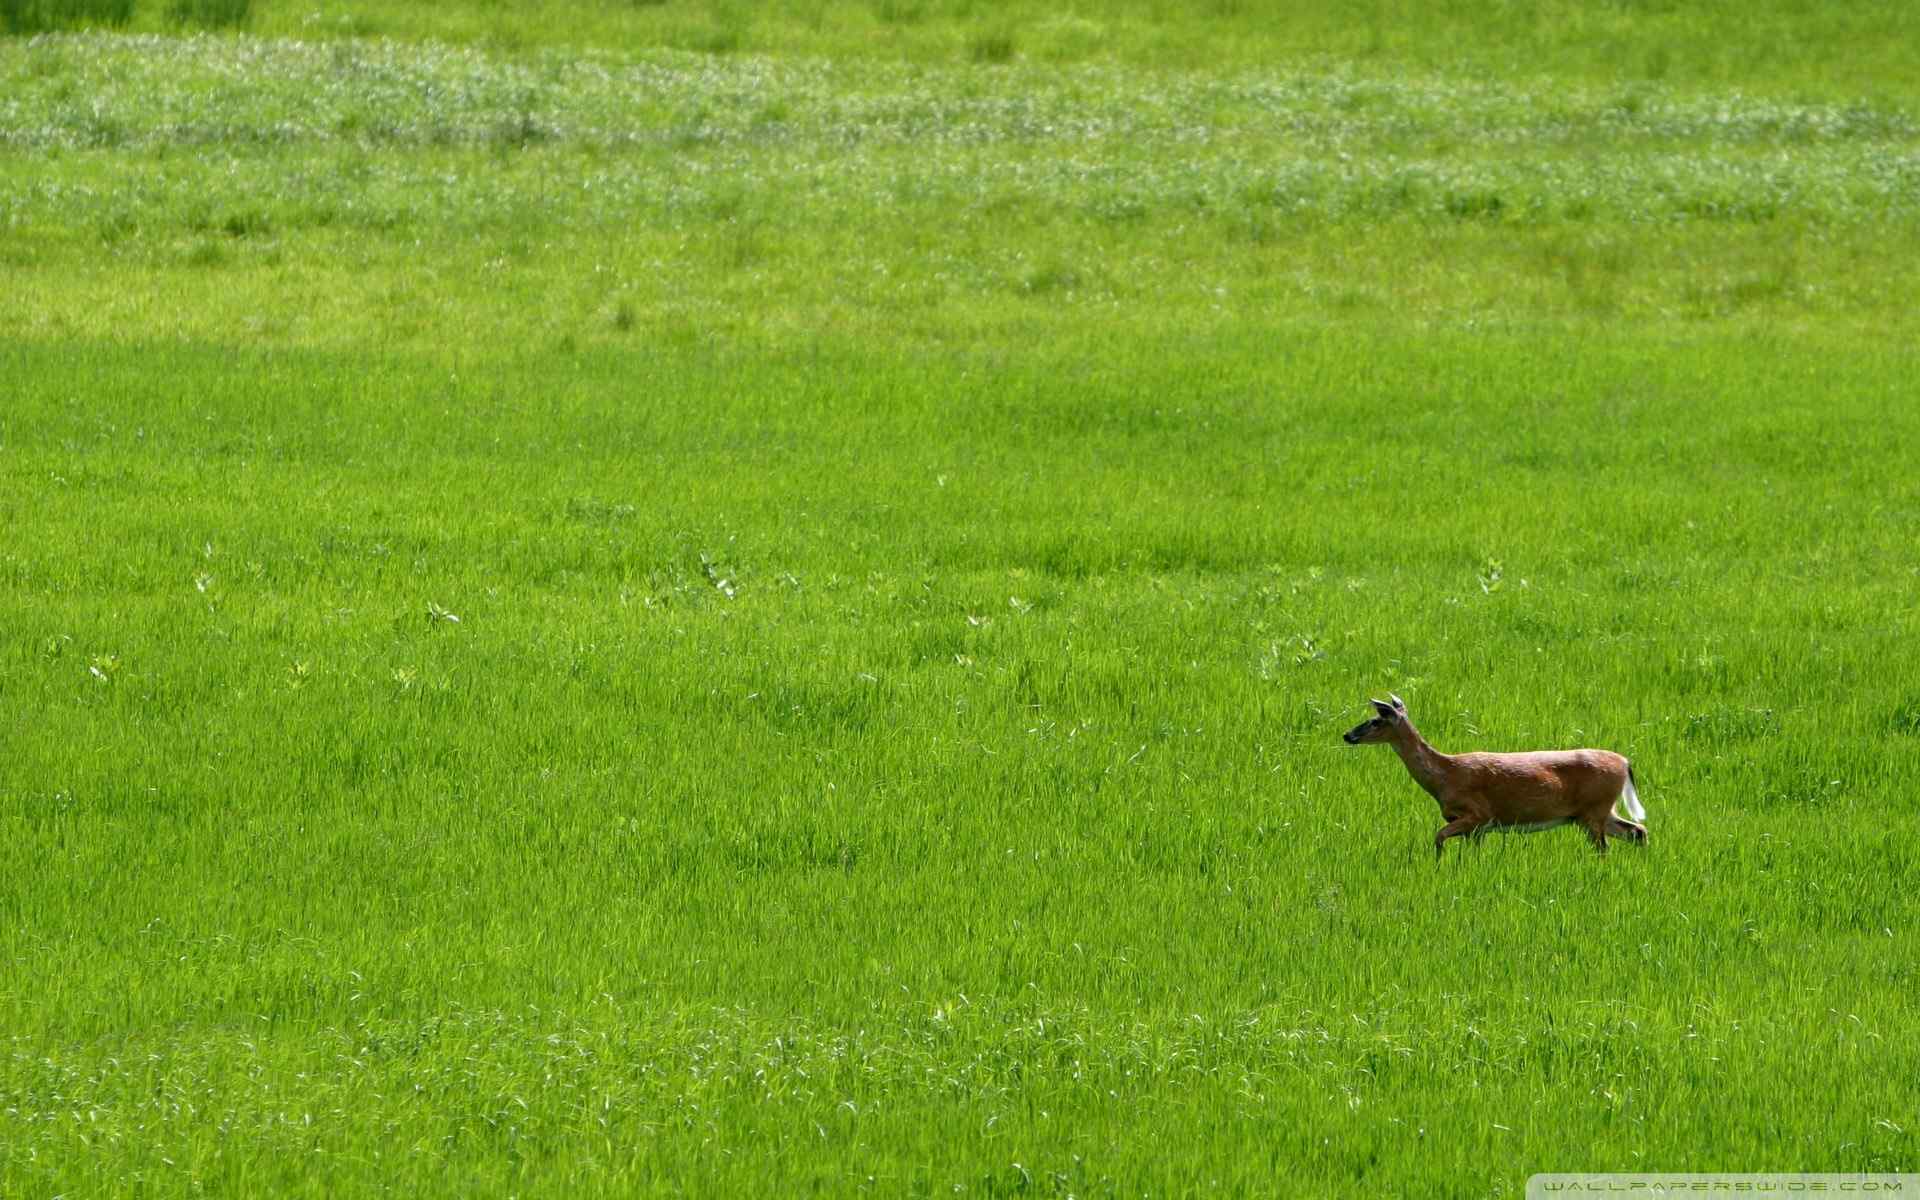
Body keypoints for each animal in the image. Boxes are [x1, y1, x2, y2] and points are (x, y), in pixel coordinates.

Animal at [1344, 698, 1643, 856]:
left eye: (1376, 721)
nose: (1347, 735)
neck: (1444, 776)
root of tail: (1625, 762)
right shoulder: (1476, 828)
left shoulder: (1478, 814)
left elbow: (1438, 837)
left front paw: (1438, 865)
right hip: (1596, 812)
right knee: (1637, 831)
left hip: (1594, 810)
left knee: (1606, 846)